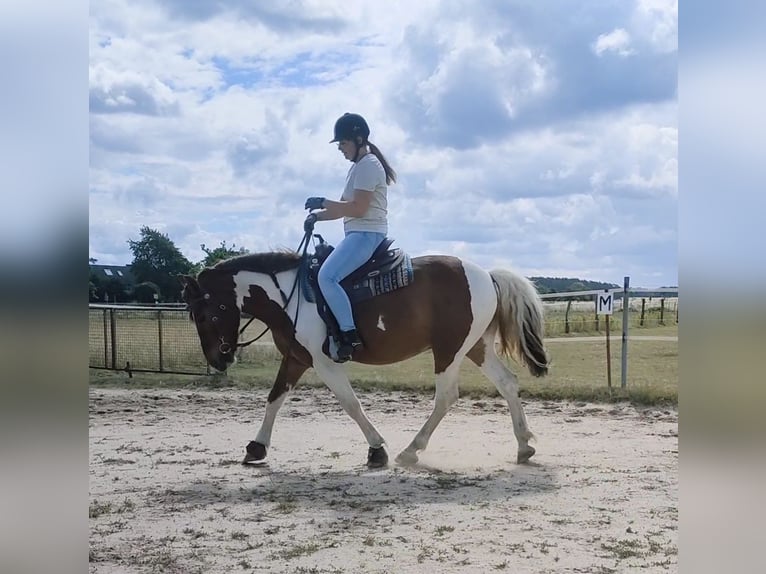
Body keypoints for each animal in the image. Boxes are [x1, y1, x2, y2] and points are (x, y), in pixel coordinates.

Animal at [180, 238, 552, 468]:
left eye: (203, 314)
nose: (218, 360)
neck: (289, 296)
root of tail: (487, 275)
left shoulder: (324, 362)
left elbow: (350, 403)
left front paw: (377, 450)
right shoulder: (297, 359)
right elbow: (274, 399)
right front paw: (257, 447)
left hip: (449, 350)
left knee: (446, 396)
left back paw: (411, 450)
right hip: (475, 347)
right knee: (507, 383)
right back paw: (523, 445)